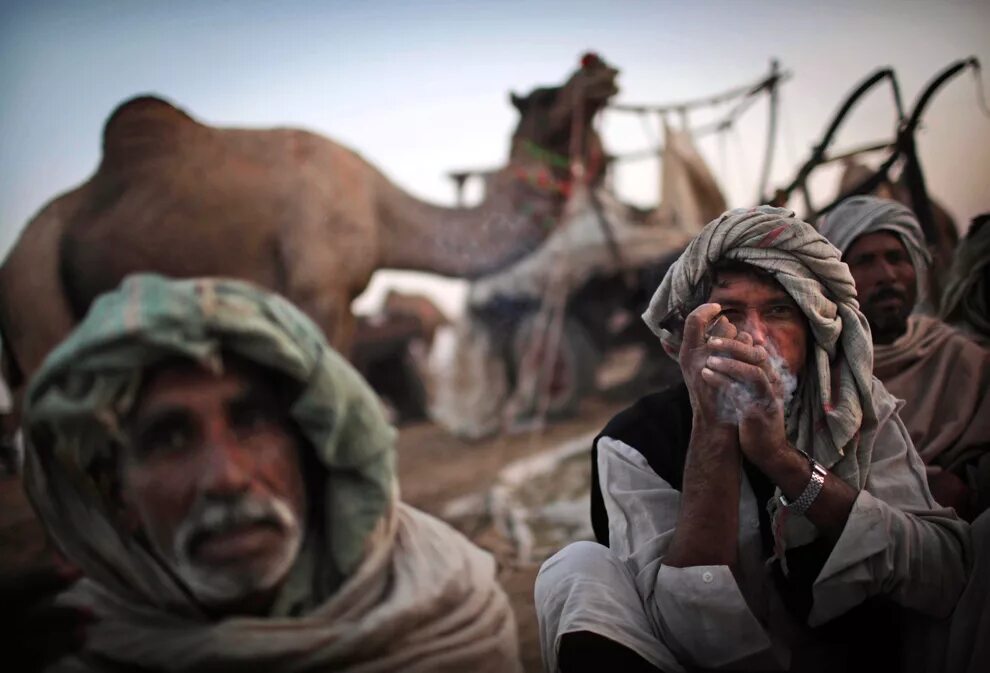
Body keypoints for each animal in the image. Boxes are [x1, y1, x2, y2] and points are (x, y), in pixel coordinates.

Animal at [0, 56, 620, 400]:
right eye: (546, 94)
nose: (601, 71)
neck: (378, 208)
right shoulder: (316, 288)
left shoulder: (345, 302)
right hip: (32, 293)